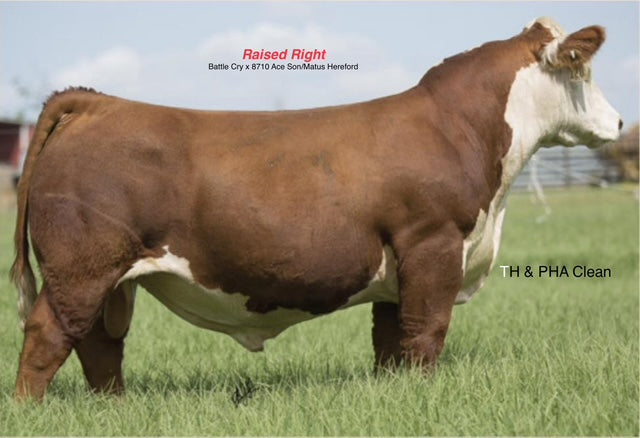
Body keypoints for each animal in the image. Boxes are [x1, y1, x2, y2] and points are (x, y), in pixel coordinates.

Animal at [11, 17, 622, 400]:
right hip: (82, 265)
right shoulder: (433, 243)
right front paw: (423, 394)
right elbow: (426, 331)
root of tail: (97, 102)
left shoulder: (398, 264)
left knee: (99, 344)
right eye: (583, 70)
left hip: (110, 276)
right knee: (48, 334)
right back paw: (28, 411)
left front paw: (396, 397)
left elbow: (389, 341)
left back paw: (116, 408)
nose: (618, 123)